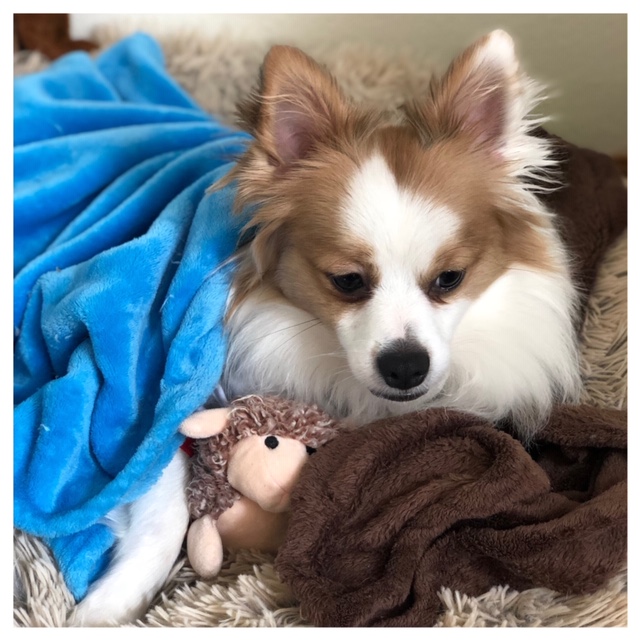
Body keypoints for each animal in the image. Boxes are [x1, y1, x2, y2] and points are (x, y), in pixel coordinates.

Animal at [72, 30, 584, 624]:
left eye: (450, 278)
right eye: (347, 281)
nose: (406, 366)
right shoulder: (159, 408)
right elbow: (162, 495)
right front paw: (110, 605)